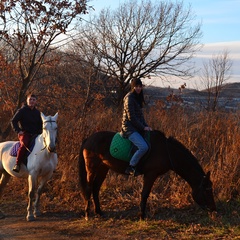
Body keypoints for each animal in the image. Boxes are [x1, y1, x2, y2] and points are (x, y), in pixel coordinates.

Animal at [78, 130, 216, 220]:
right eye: (207, 190)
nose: (214, 209)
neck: (167, 151)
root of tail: (88, 139)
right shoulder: (151, 174)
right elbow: (145, 194)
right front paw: (142, 216)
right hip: (92, 168)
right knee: (89, 188)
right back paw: (87, 214)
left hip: (103, 168)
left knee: (96, 188)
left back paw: (99, 212)